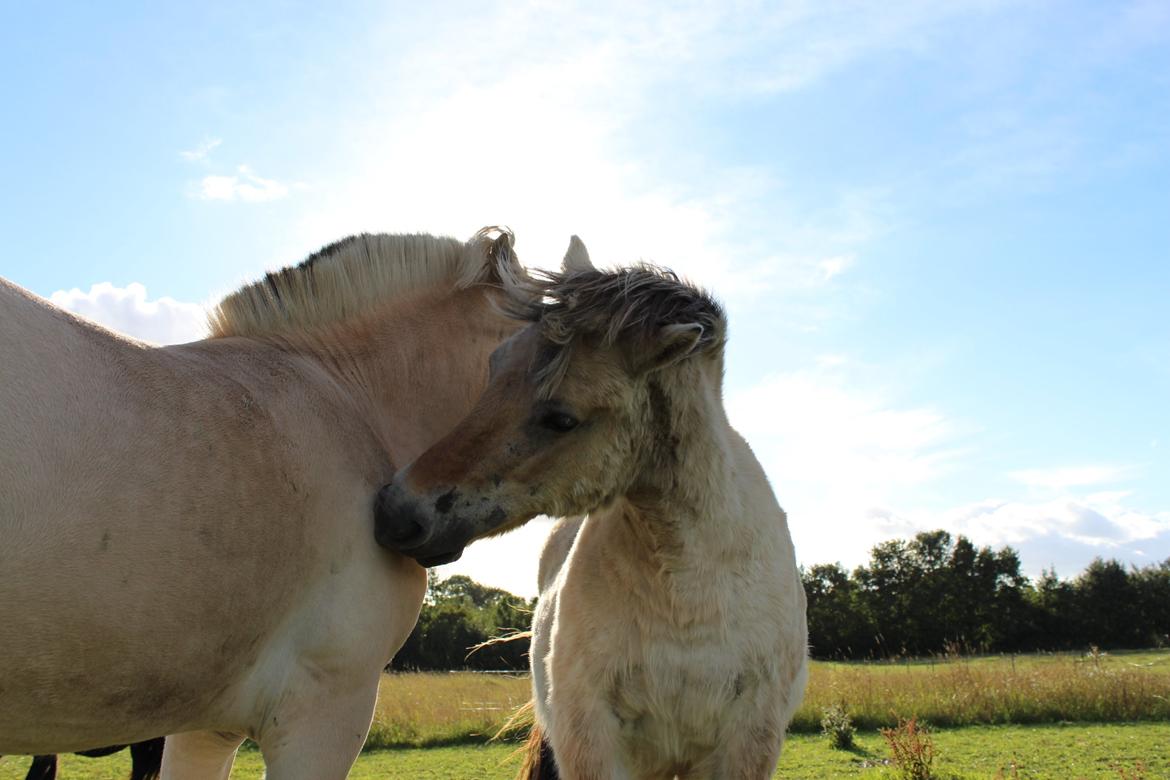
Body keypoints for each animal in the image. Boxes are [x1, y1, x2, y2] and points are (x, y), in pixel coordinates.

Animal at [379, 240, 809, 776]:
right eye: (495, 366)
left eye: (563, 418)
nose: (395, 510)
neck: (689, 595)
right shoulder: (592, 742)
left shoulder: (749, 743)